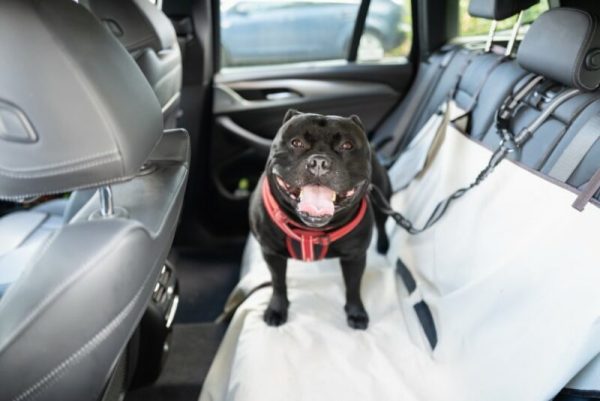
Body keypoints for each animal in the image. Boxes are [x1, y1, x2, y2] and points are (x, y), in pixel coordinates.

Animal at [250, 109, 394, 328]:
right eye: (296, 143)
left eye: (347, 146)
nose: (319, 162)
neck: (310, 230)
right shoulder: (271, 252)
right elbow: (278, 282)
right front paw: (277, 308)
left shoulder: (355, 256)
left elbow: (353, 286)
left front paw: (356, 312)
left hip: (382, 197)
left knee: (382, 223)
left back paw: (383, 245)